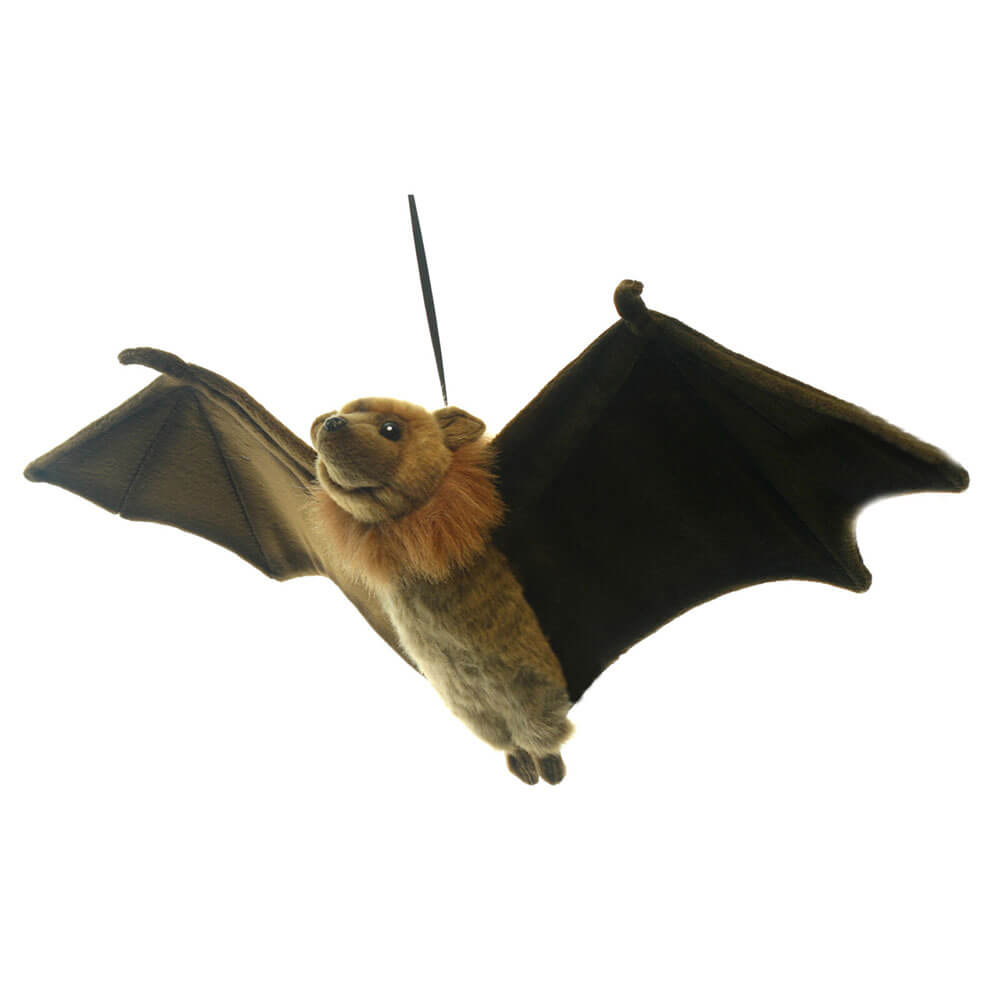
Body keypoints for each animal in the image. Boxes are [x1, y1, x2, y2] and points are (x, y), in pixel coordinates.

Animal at [307, 396, 573, 785]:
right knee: (509, 741)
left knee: (543, 734)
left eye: (390, 429)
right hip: (475, 714)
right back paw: (523, 765)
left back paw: (550, 768)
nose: (331, 423)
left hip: (537, 698)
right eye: (342, 413)